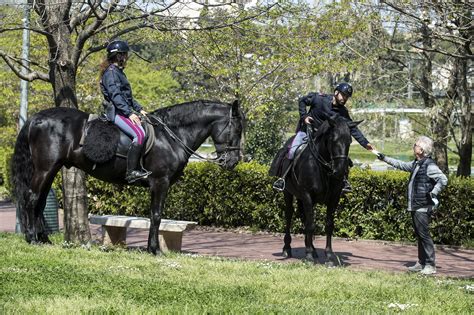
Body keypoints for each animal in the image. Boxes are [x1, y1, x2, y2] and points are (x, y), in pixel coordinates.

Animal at [12, 100, 244, 256]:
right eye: (237, 129)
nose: (233, 162)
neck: (171, 136)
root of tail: (36, 118)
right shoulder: (160, 182)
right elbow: (156, 215)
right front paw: (154, 250)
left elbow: (154, 215)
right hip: (45, 169)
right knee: (31, 198)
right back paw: (32, 238)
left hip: (51, 169)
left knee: (40, 202)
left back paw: (44, 239)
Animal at [270, 115, 360, 266]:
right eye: (333, 140)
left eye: (349, 141)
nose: (340, 171)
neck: (322, 167)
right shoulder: (307, 195)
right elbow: (310, 225)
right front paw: (308, 256)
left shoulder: (334, 197)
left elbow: (328, 225)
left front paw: (329, 255)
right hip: (288, 193)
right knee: (289, 215)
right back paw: (287, 248)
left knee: (304, 218)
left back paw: (313, 249)